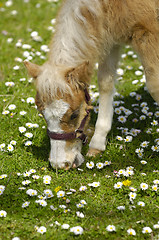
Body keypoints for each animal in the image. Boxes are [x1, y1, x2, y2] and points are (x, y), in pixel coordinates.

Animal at [24, 0, 159, 170]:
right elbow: (105, 82)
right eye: (42, 114)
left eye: (74, 114)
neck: (108, 5)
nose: (60, 164)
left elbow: (154, 86)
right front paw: (97, 144)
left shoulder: (147, 32)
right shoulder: (109, 36)